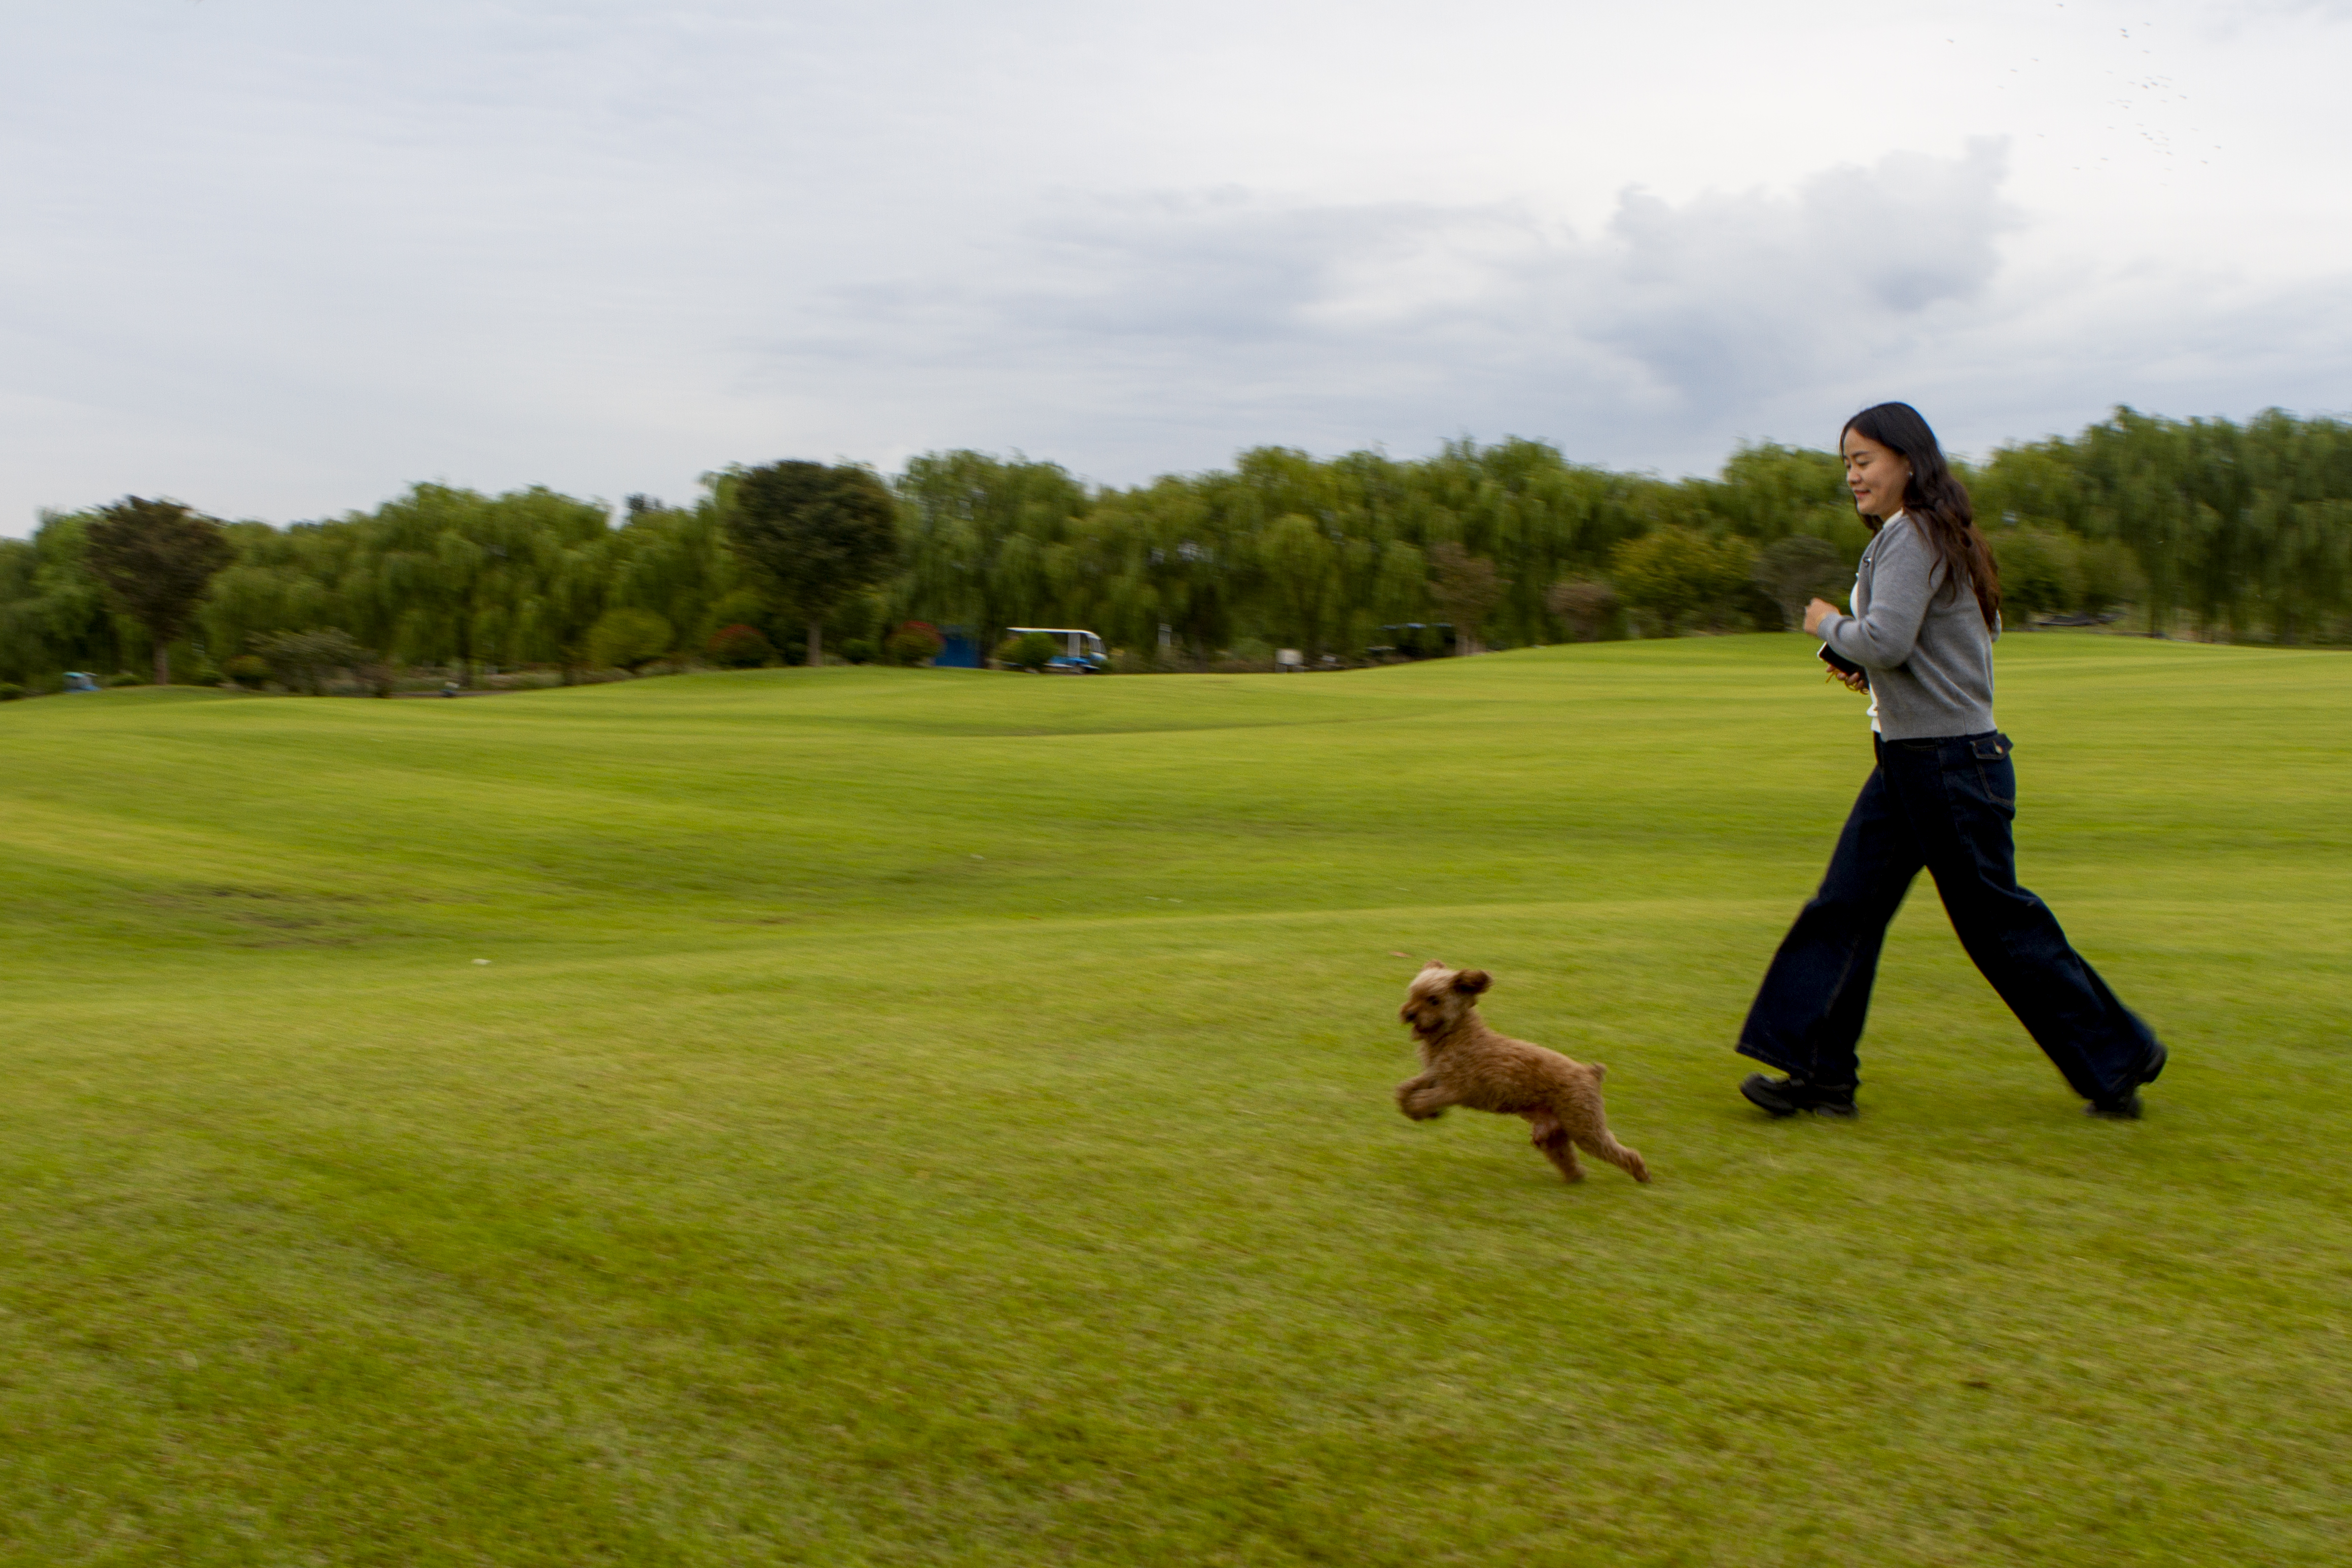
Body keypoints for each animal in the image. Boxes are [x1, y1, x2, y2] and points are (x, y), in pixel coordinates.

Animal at [1392, 964, 1656, 1185]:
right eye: (1412, 995)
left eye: (1434, 1000)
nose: (1409, 1014)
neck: (1456, 1035)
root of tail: (1592, 1073)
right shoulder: (1434, 1074)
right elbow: (1404, 1090)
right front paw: (1419, 1110)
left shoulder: (1457, 1088)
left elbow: (1424, 1099)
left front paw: (1421, 1111)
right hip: (1554, 1134)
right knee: (1568, 1159)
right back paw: (1576, 1178)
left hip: (1584, 1126)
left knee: (1621, 1152)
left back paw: (1641, 1175)